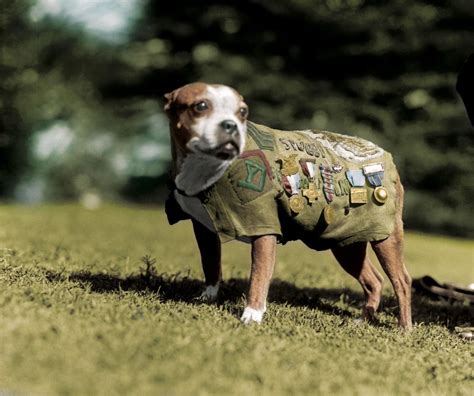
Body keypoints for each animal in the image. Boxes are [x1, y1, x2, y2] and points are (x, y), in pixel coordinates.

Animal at [163, 82, 412, 330]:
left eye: (243, 112)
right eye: (200, 106)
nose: (230, 125)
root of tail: (386, 157)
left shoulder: (264, 229)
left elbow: (258, 274)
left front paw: (252, 314)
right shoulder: (204, 230)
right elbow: (211, 263)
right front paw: (208, 297)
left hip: (386, 237)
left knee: (401, 280)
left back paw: (403, 327)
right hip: (346, 244)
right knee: (374, 280)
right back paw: (363, 320)